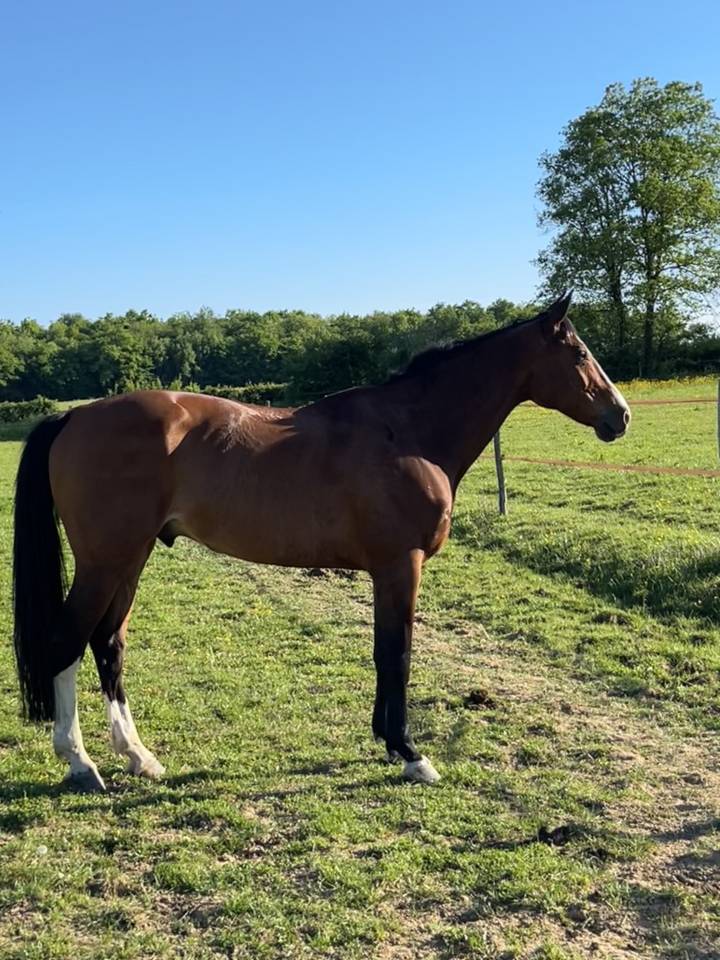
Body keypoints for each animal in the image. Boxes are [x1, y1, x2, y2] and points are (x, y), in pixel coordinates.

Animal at [12, 293, 630, 791]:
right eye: (579, 354)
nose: (620, 416)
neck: (408, 432)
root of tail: (75, 416)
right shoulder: (400, 565)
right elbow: (398, 653)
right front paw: (411, 754)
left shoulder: (388, 569)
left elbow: (384, 652)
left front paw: (388, 741)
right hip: (105, 561)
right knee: (67, 642)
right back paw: (81, 763)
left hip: (130, 558)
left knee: (107, 643)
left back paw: (139, 757)